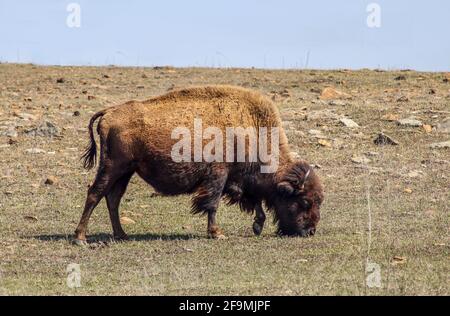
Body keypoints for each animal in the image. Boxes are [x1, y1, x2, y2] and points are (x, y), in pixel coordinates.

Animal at [74, 84, 322, 244]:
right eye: (305, 201)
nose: (310, 231)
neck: (250, 130)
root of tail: (109, 112)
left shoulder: (239, 180)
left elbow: (254, 200)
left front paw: (257, 226)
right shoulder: (218, 176)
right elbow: (212, 205)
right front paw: (217, 233)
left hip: (126, 171)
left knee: (112, 198)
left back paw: (121, 235)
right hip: (112, 166)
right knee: (95, 194)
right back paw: (81, 238)